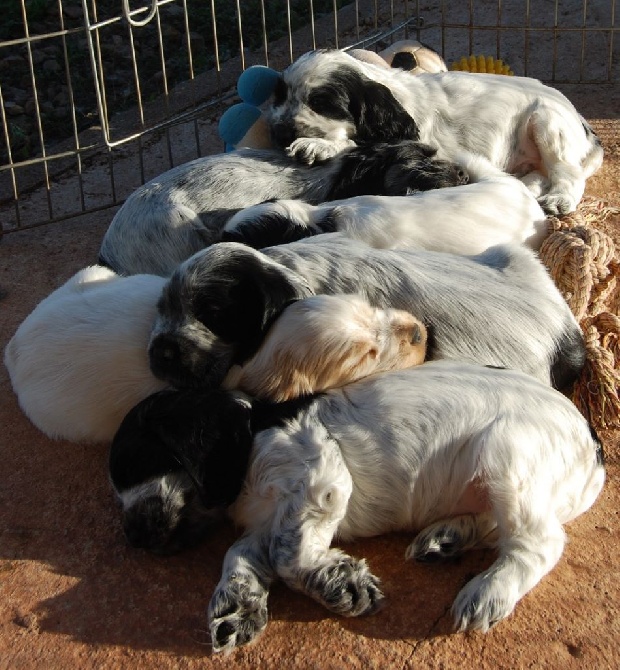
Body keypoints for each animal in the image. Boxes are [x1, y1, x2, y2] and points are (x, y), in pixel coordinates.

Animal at [106, 362, 604, 652]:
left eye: (134, 462)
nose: (132, 538)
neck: (252, 441)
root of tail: (593, 444)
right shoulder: (266, 522)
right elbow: (241, 553)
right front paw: (237, 607)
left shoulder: (318, 475)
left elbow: (288, 556)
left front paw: (341, 586)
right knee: (497, 525)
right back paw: (445, 539)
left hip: (507, 452)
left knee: (540, 541)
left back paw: (488, 591)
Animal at [268, 50, 604, 218]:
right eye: (279, 97)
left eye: (321, 103)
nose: (279, 131)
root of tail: (585, 128)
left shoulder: (413, 142)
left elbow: (358, 142)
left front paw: (316, 145)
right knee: (538, 175)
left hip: (546, 123)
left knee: (567, 173)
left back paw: (559, 200)